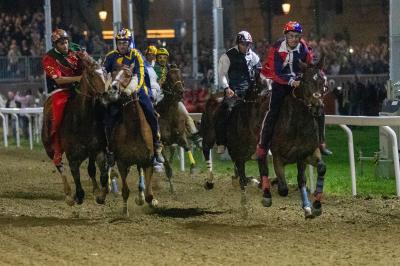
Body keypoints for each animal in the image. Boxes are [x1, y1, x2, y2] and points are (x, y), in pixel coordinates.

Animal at [41, 53, 112, 206]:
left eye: (104, 73)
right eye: (92, 74)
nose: (105, 96)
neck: (82, 120)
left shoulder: (98, 150)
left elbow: (102, 174)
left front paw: (101, 194)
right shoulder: (72, 156)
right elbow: (76, 177)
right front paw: (77, 196)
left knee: (91, 169)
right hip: (50, 148)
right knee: (59, 165)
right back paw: (68, 194)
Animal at [101, 66, 158, 216]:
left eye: (127, 75)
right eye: (114, 73)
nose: (113, 88)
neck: (134, 129)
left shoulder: (147, 161)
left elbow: (149, 194)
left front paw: (150, 201)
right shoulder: (122, 162)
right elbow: (125, 191)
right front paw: (125, 212)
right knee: (108, 167)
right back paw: (104, 192)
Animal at [258, 57, 330, 218]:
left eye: (323, 80)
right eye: (305, 81)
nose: (318, 107)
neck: (298, 122)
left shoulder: (307, 153)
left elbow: (319, 169)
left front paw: (315, 205)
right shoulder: (278, 156)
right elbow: (283, 189)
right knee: (261, 160)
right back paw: (266, 193)